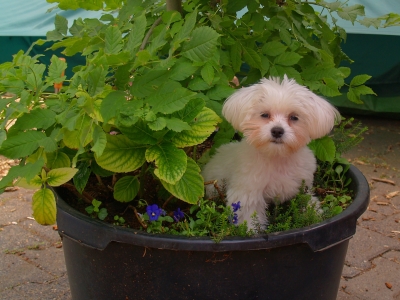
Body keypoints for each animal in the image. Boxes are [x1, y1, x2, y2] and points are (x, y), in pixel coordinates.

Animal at [203, 76, 340, 229]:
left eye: (294, 117)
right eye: (264, 115)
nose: (277, 131)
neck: (276, 157)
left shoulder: (302, 187)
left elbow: (307, 201)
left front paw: (314, 214)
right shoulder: (248, 193)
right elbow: (249, 218)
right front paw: (251, 230)